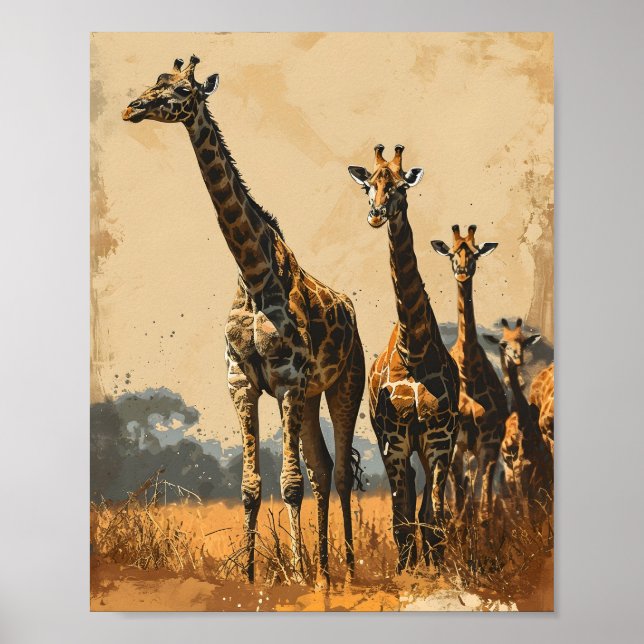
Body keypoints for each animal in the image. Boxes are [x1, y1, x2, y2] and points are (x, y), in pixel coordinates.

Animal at [122, 56, 366, 586]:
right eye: (156, 81)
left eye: (183, 90)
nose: (132, 108)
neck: (254, 275)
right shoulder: (242, 381)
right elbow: (252, 486)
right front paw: (254, 576)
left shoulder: (288, 380)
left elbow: (290, 482)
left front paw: (294, 577)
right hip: (310, 396)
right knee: (323, 467)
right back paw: (322, 568)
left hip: (343, 384)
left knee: (337, 474)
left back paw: (344, 571)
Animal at [348, 145, 460, 571]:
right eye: (368, 186)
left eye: (399, 186)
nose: (377, 214)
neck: (414, 347)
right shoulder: (393, 438)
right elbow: (400, 517)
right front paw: (405, 573)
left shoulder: (439, 437)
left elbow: (435, 517)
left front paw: (439, 573)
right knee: (409, 502)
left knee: (425, 507)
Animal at [431, 226, 508, 522]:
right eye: (453, 253)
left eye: (475, 253)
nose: (463, 272)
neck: (469, 371)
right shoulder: (457, 446)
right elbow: (461, 509)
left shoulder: (489, 444)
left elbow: (483, 511)